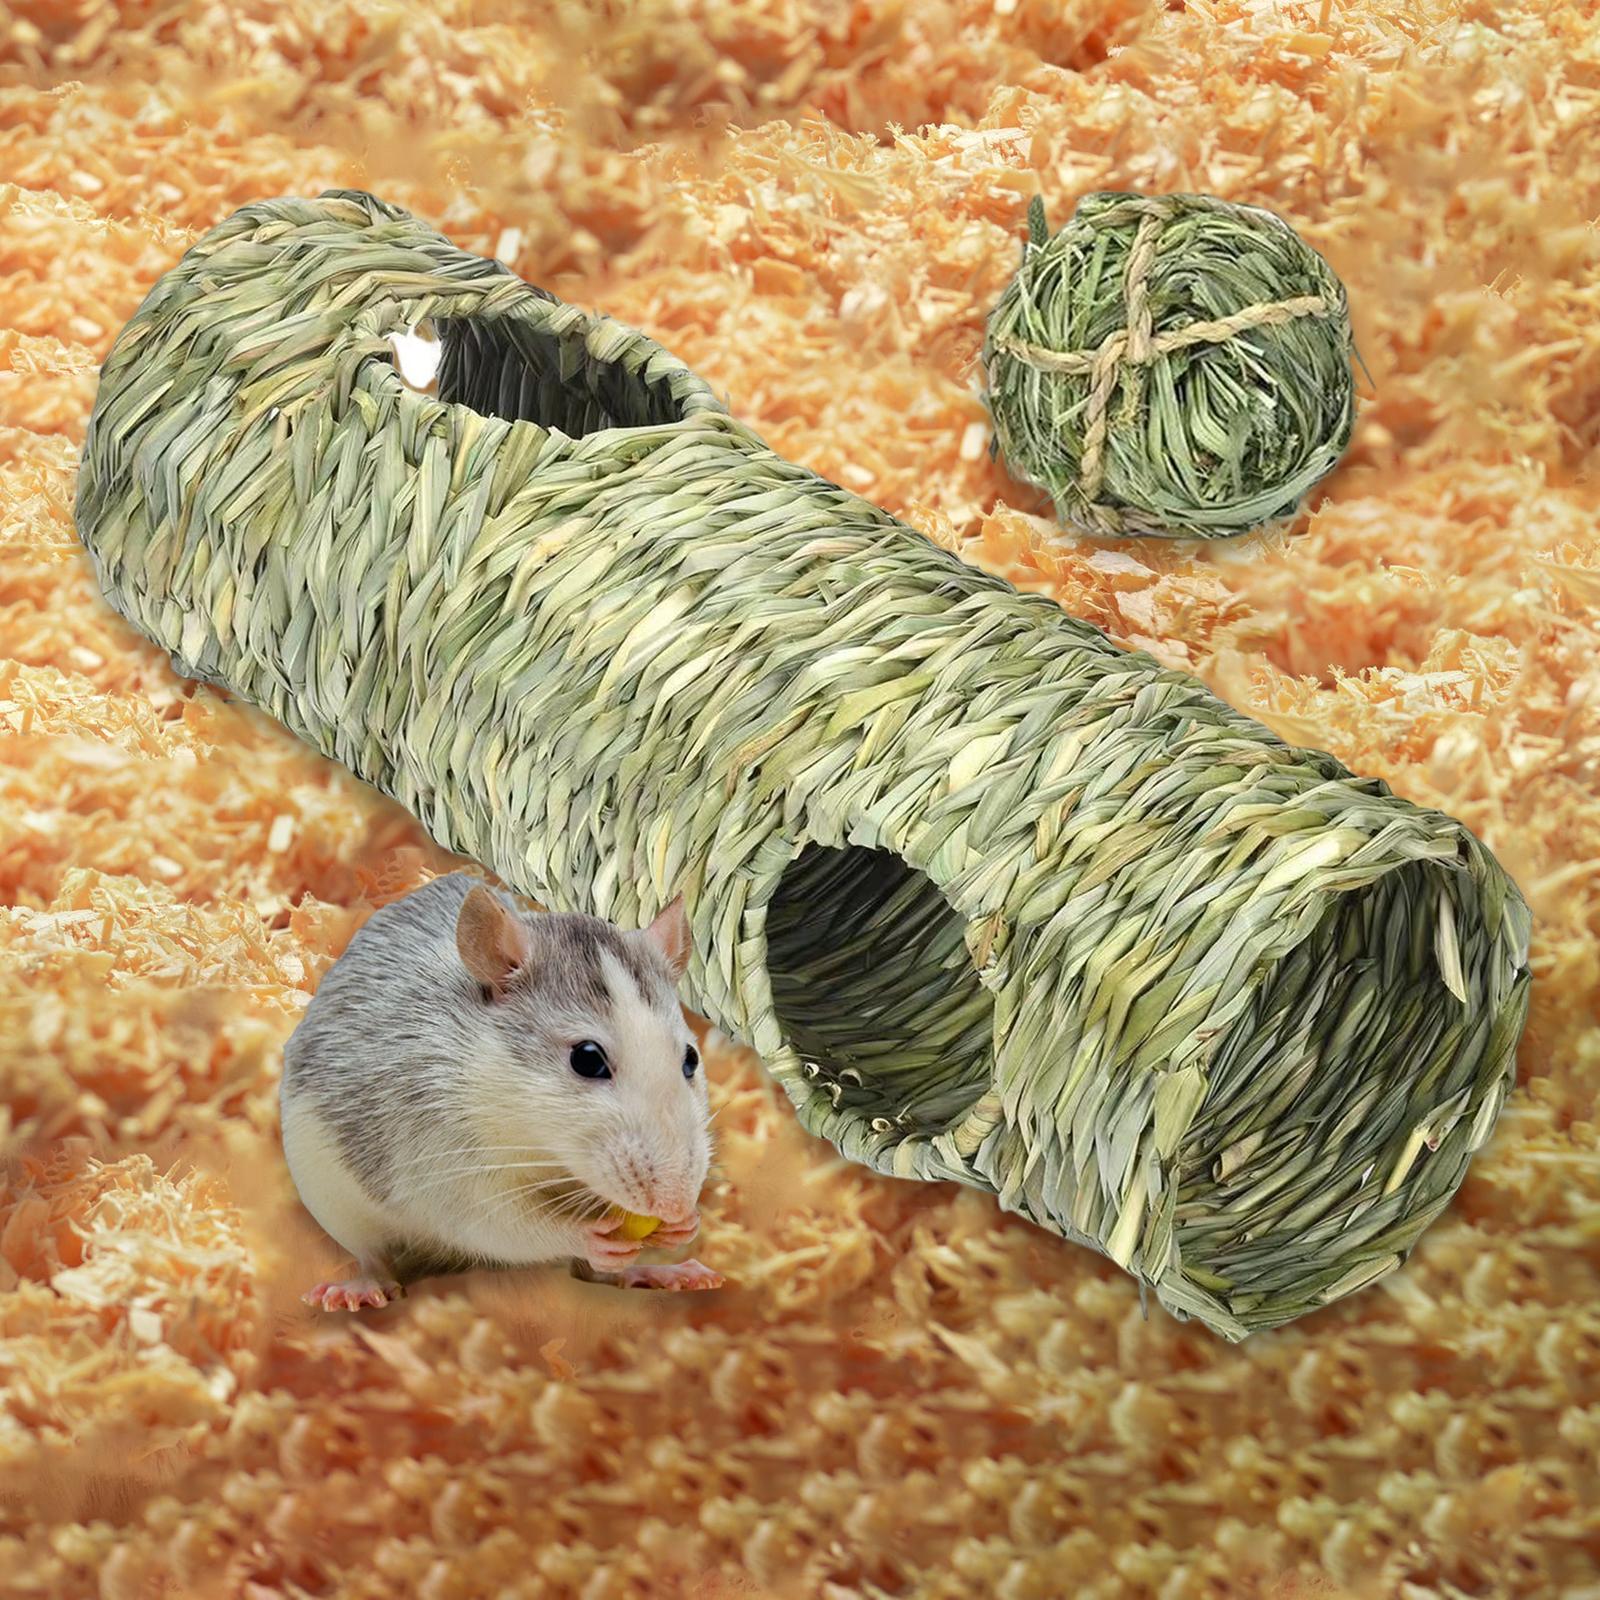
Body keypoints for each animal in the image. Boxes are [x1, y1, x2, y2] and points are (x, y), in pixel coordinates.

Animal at [279, 872, 722, 1311]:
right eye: (587, 1058)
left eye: (691, 1059)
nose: (675, 1204)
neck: (541, 1148)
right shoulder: (438, 1142)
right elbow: (493, 1222)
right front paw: (582, 1236)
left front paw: (685, 1226)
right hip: (337, 1204)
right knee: (373, 1253)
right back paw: (364, 1284)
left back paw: (651, 1272)